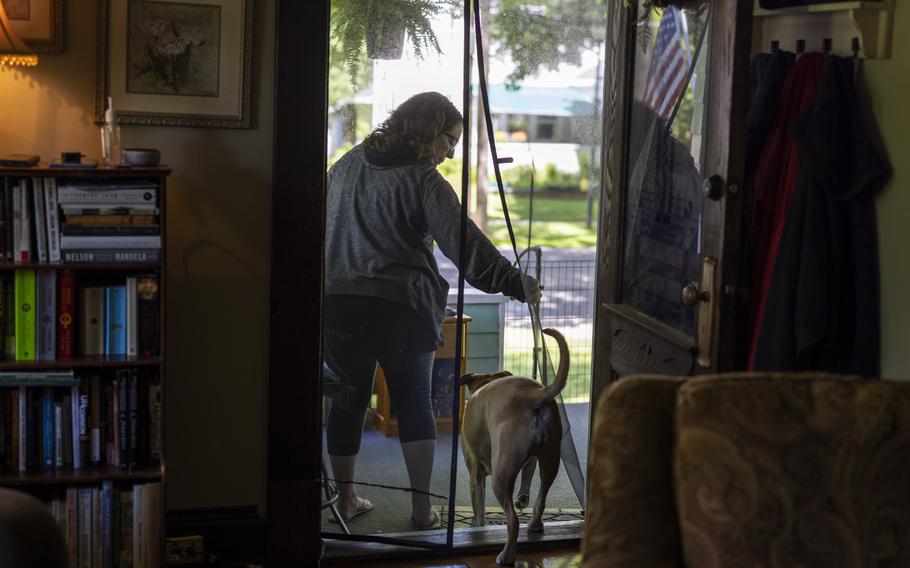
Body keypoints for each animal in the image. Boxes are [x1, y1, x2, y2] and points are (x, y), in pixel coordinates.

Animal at [464, 326, 568, 564]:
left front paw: (478, 529)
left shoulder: (476, 475)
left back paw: (506, 555)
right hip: (551, 459)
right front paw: (522, 498)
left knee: (512, 520)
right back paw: (535, 524)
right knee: (542, 497)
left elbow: (479, 511)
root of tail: (534, 395)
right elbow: (528, 475)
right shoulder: (531, 459)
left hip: (501, 476)